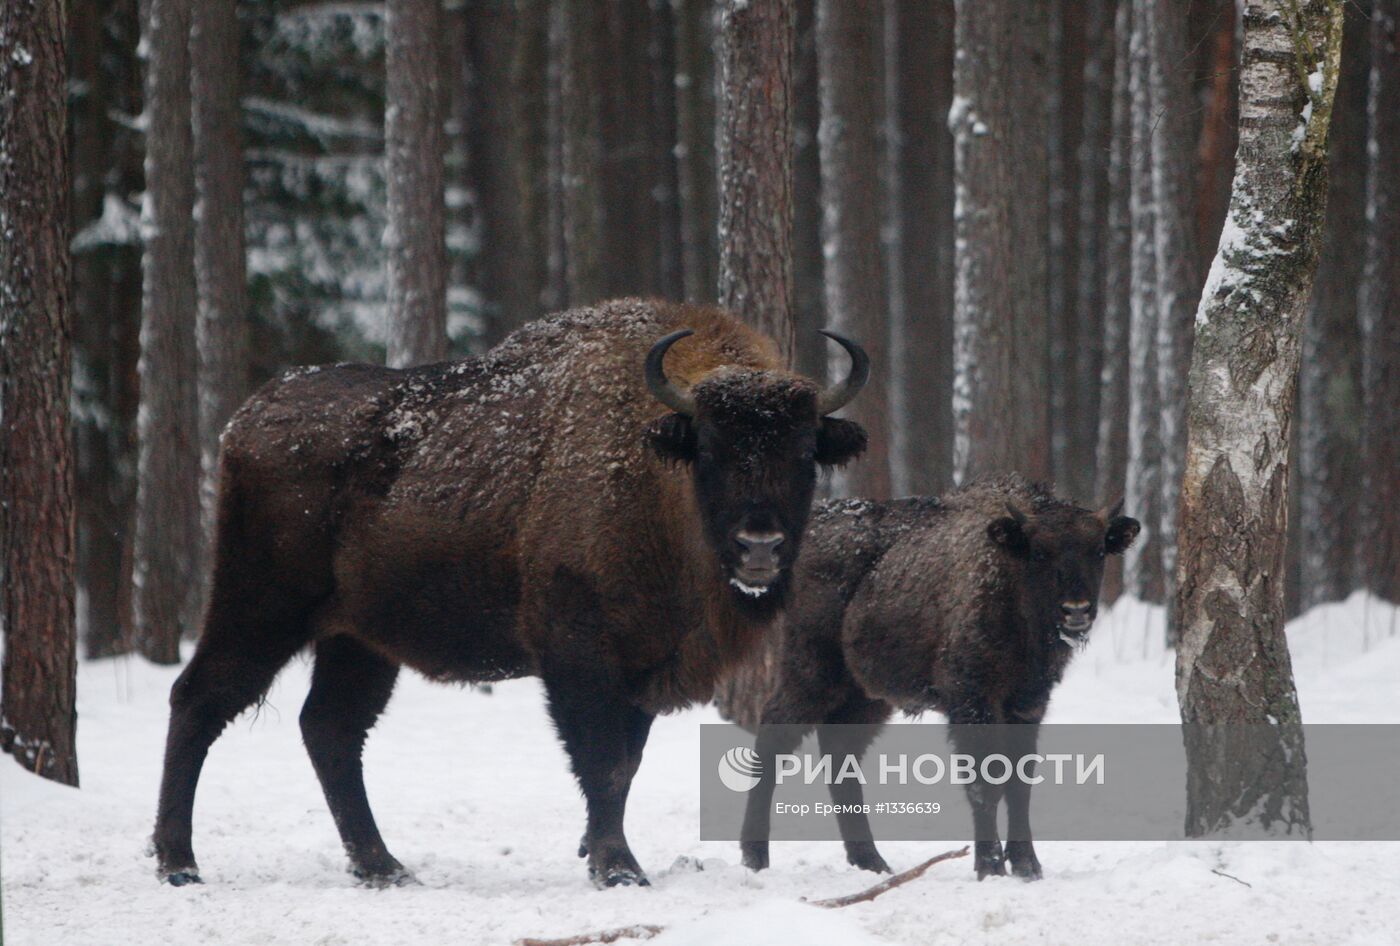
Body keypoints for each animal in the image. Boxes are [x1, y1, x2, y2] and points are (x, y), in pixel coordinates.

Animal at [158, 300, 868, 884]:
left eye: (804, 451)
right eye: (713, 448)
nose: (760, 547)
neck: (655, 470)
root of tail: (245, 421)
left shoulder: (645, 665)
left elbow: (627, 762)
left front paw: (596, 851)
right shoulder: (578, 652)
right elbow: (602, 760)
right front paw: (618, 868)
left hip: (358, 639)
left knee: (330, 728)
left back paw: (384, 867)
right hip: (259, 607)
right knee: (200, 699)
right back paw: (179, 863)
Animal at [728, 475, 1142, 884]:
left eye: (1098, 551)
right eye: (1040, 553)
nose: (1077, 611)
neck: (1008, 576)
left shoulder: (1027, 705)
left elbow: (1019, 784)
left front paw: (1028, 868)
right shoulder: (973, 701)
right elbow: (986, 781)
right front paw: (990, 867)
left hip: (866, 695)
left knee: (840, 754)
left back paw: (872, 862)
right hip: (812, 673)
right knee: (775, 739)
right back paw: (755, 857)